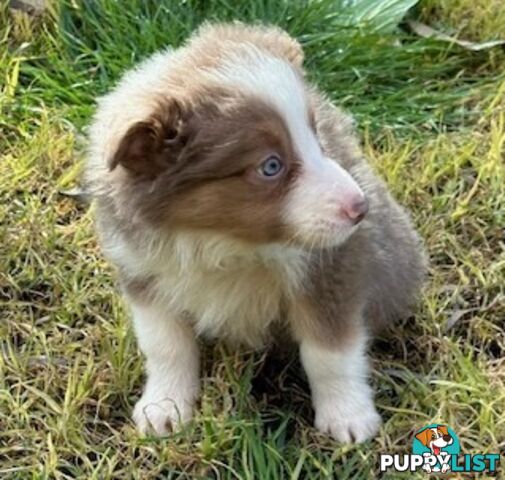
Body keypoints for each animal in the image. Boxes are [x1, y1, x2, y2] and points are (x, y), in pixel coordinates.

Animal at [85, 22, 426, 442]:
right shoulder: (143, 271)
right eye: (271, 166)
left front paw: (348, 417)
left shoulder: (329, 270)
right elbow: (165, 344)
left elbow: (330, 351)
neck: (223, 242)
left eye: (316, 135)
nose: (360, 208)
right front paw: (164, 407)